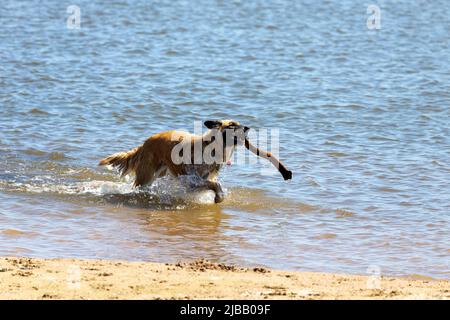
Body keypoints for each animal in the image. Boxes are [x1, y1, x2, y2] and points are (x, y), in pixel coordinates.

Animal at [99, 120, 251, 202]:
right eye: (232, 125)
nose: (247, 128)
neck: (212, 146)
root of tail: (145, 143)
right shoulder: (190, 180)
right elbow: (215, 184)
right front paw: (218, 197)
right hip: (146, 175)